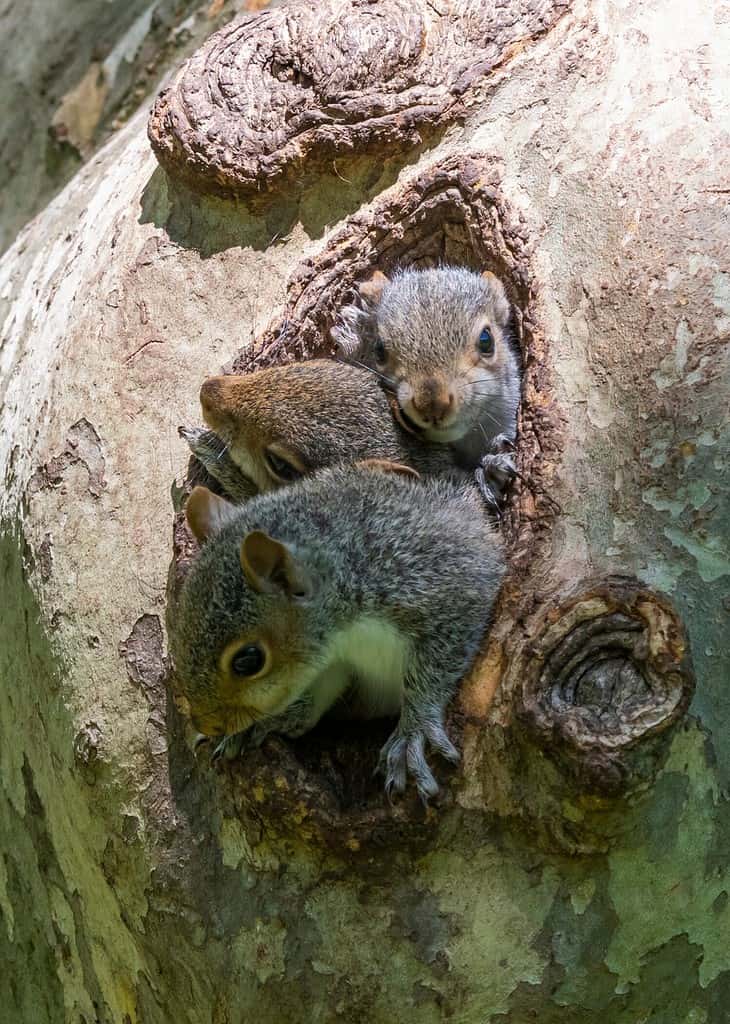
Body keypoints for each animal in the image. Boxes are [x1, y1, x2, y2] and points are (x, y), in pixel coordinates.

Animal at [169, 460, 501, 802]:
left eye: (248, 660)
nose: (207, 724)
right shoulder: (338, 662)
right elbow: (323, 687)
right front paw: (275, 719)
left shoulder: (437, 578)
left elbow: (436, 662)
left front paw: (415, 729)